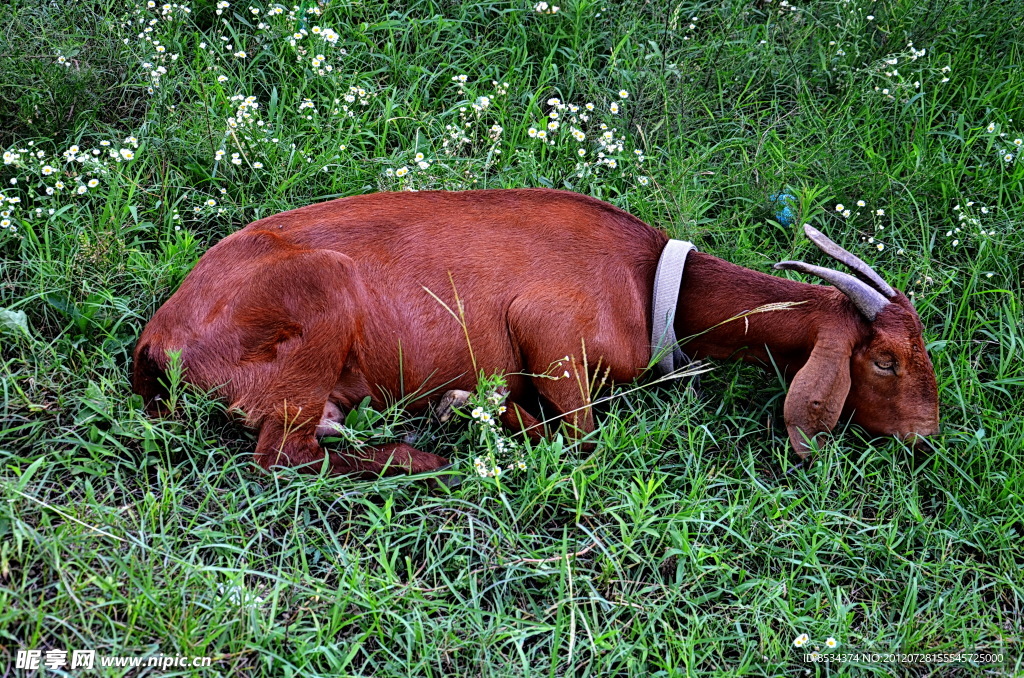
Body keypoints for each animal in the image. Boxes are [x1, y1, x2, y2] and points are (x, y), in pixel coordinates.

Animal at [132, 189, 937, 477]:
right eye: (887, 361)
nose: (925, 437)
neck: (652, 284)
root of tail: (158, 337)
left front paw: (470, 406)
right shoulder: (549, 328)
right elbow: (578, 437)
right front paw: (470, 407)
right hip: (321, 292)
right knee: (281, 455)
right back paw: (429, 455)